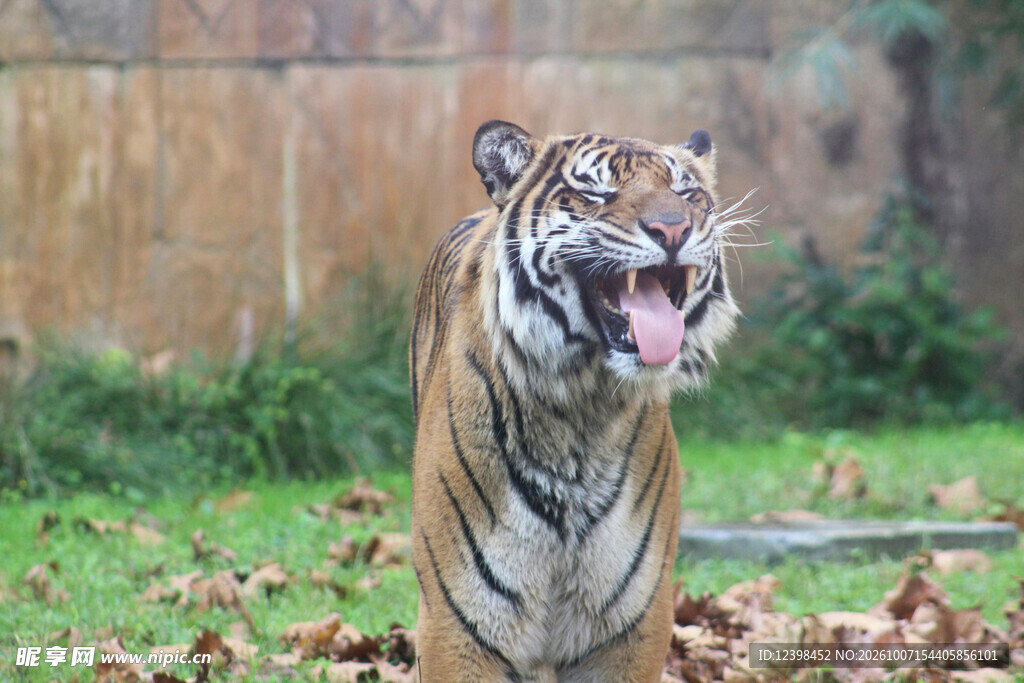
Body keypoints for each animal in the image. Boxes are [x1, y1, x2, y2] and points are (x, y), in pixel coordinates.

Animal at [409, 120, 741, 682]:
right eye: (596, 192)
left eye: (684, 191)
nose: (673, 230)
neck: (581, 411)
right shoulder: (458, 627)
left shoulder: (630, 627)